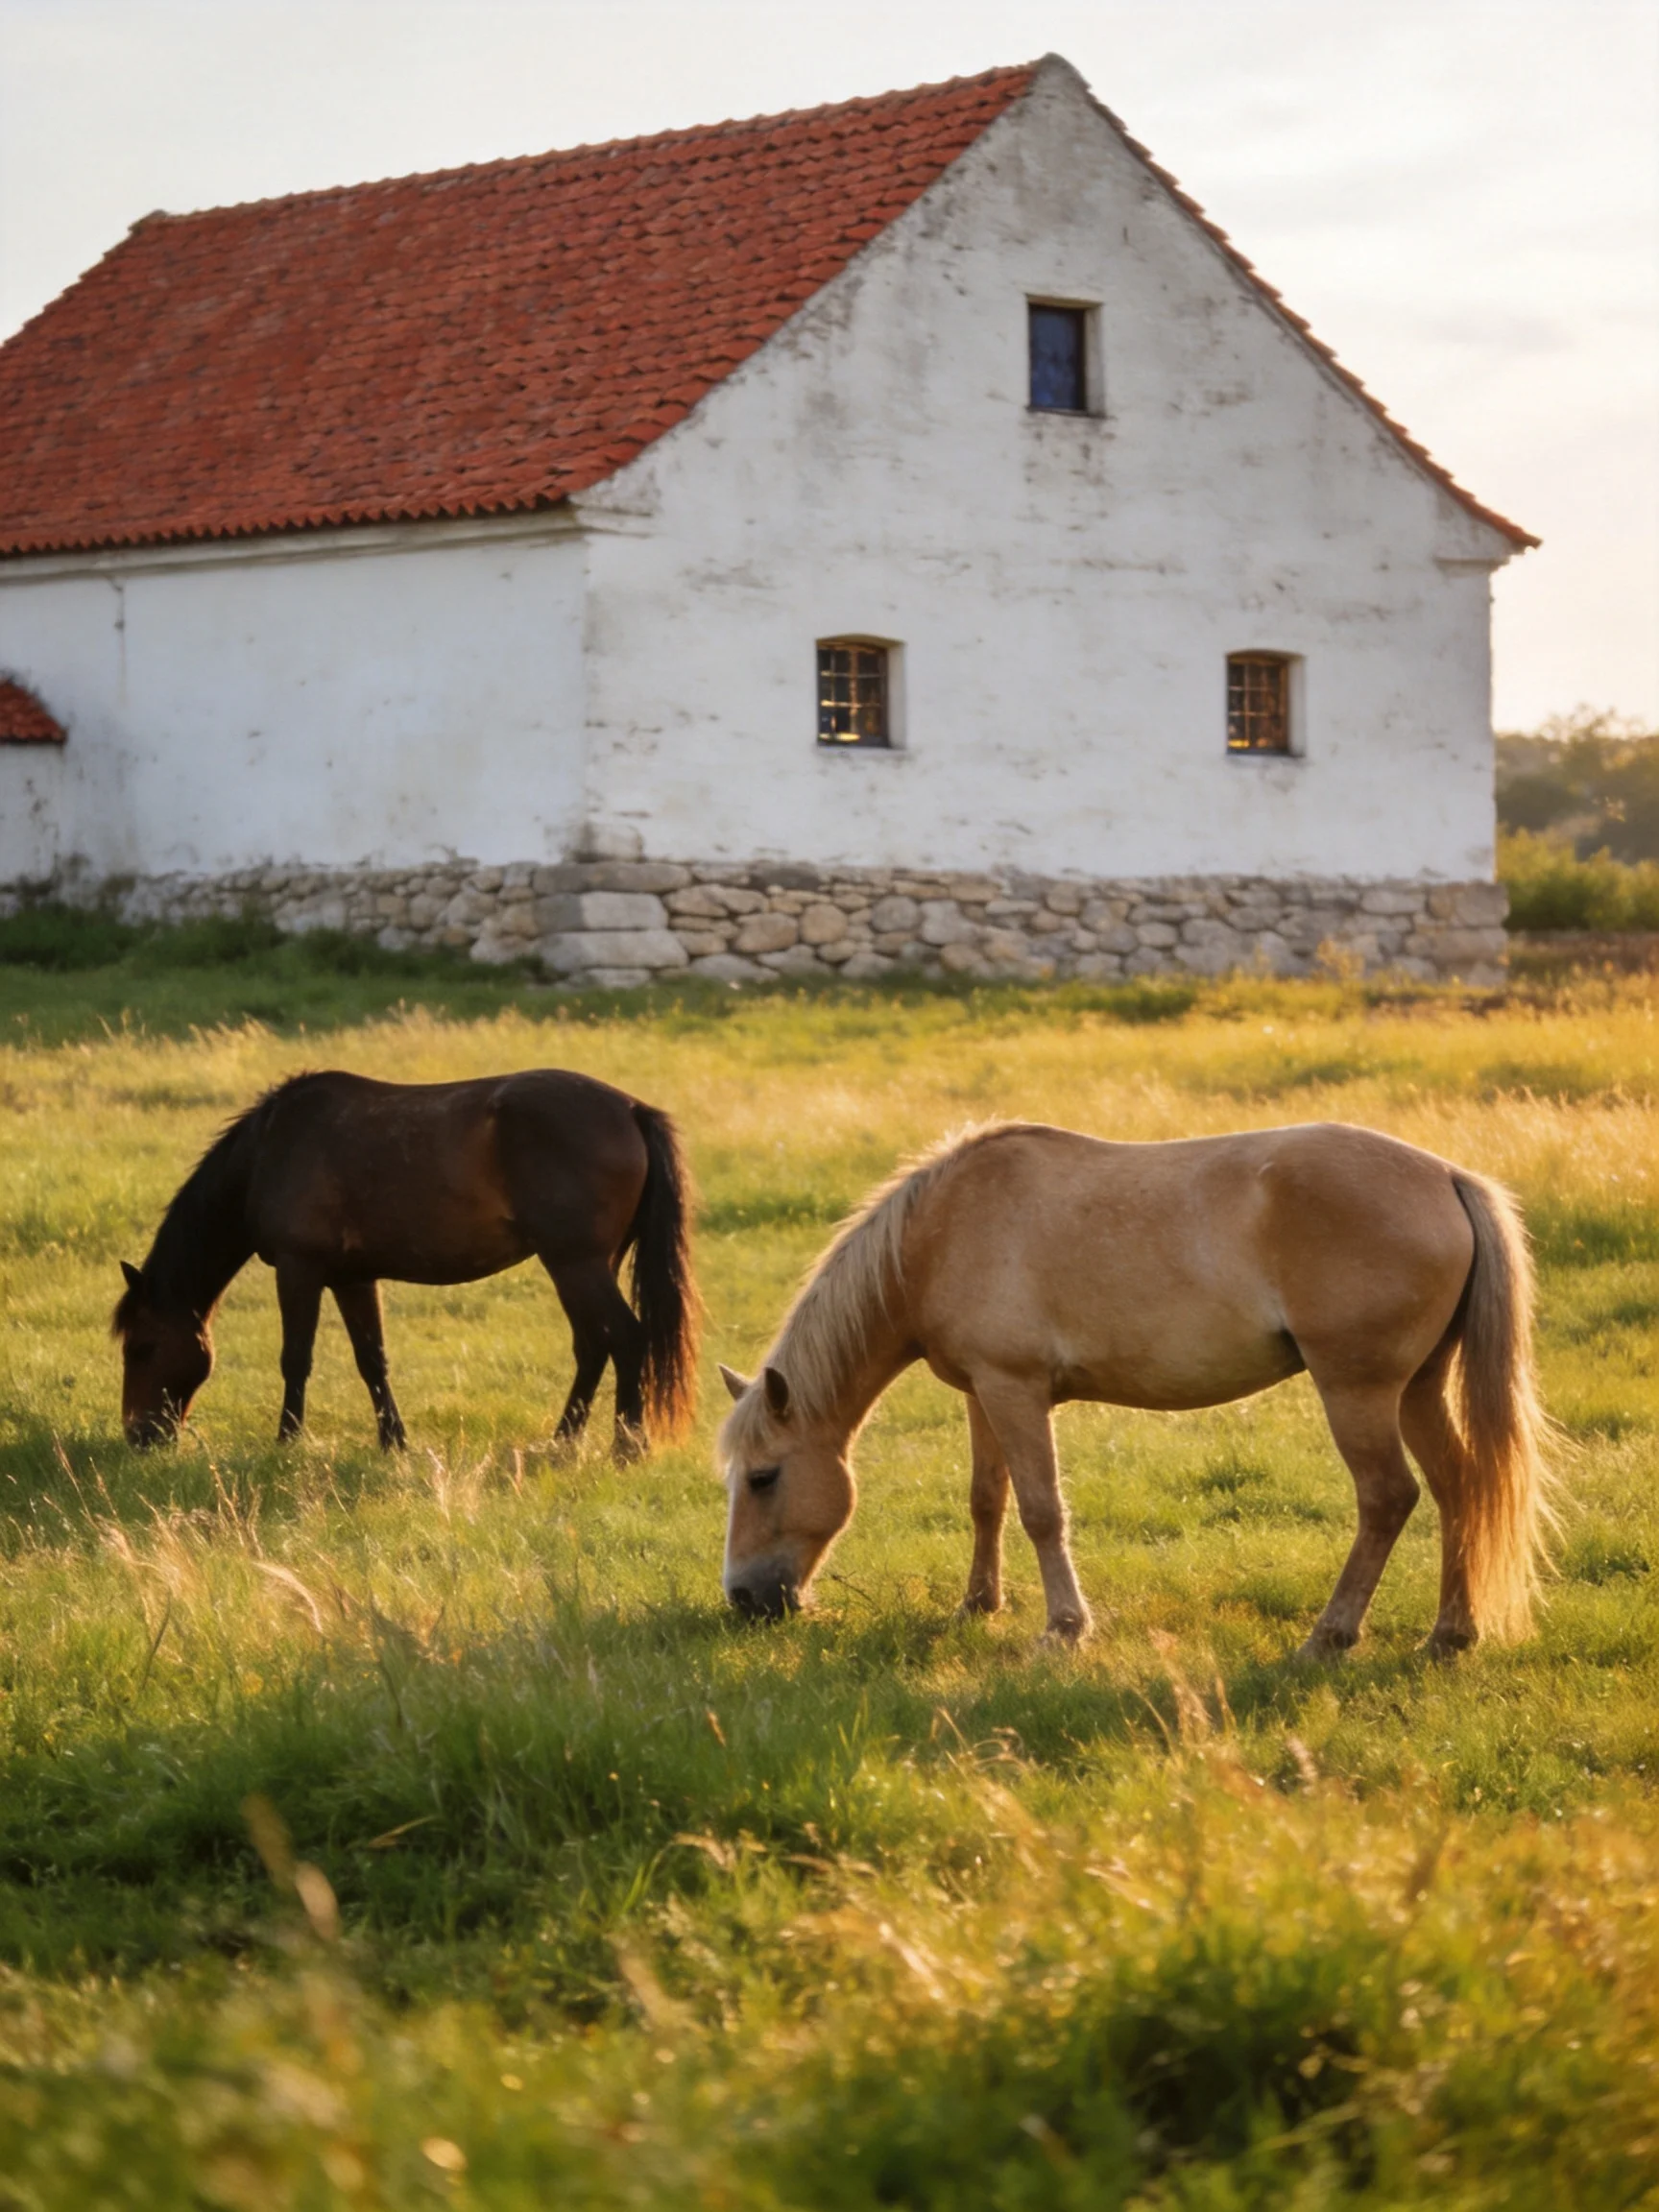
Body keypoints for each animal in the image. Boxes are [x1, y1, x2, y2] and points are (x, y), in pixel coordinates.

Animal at [113, 1068, 698, 1457]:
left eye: (142, 1348)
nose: (138, 1434)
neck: (268, 1150)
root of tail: (631, 1110)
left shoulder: (300, 1269)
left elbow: (295, 1358)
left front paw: (287, 1440)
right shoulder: (352, 1278)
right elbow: (372, 1359)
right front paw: (393, 1441)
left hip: (576, 1263)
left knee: (626, 1338)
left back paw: (627, 1447)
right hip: (582, 1265)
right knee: (594, 1345)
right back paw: (562, 1441)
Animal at [717, 1120, 1554, 1661]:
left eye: (763, 1478)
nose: (742, 1601)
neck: (942, 1232)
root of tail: (1448, 1177)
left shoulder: (1016, 1391)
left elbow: (1042, 1511)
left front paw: (1063, 1628)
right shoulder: (983, 1393)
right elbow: (987, 1500)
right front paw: (977, 1606)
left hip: (1358, 1390)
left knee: (1387, 1499)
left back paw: (1330, 1637)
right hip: (1416, 1390)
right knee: (1460, 1488)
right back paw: (1450, 1635)